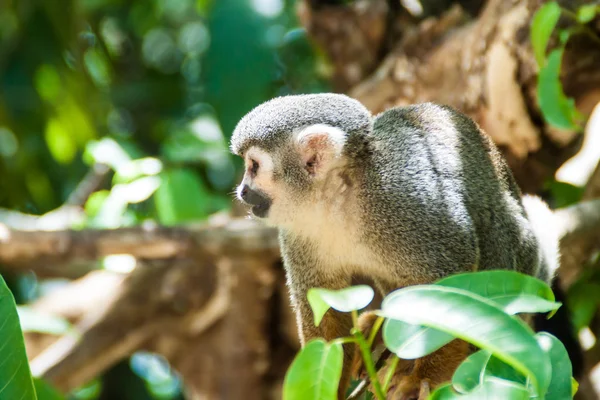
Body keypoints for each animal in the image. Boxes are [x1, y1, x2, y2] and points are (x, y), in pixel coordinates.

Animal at [229, 93, 556, 396]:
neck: (338, 199)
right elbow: (324, 310)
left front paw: (426, 379)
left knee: (492, 222)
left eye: (253, 166)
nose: (243, 190)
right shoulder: (298, 230)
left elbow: (451, 281)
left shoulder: (407, 200)